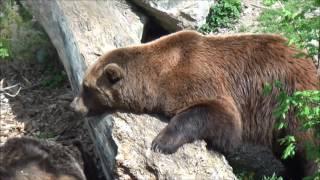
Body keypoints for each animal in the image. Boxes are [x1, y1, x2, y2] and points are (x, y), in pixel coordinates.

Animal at [71, 30, 318, 178]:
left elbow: (217, 114)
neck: (157, 78)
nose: (74, 106)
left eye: (86, 87)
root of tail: (308, 61)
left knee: (306, 146)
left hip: (291, 101)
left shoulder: (197, 77)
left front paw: (161, 142)